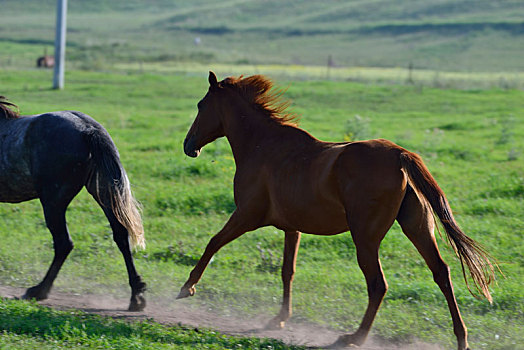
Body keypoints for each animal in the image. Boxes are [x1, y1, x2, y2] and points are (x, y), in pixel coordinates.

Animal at [1, 96, 147, 312]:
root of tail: (88, 129)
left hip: (53, 202)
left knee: (64, 243)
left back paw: (38, 291)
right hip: (103, 192)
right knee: (120, 234)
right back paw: (136, 296)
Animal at [179, 72, 496, 348]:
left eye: (200, 105)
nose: (188, 145)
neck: (263, 146)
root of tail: (399, 154)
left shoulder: (247, 215)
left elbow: (213, 242)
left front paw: (187, 287)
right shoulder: (292, 227)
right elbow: (287, 270)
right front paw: (279, 319)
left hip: (365, 237)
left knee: (378, 284)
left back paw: (355, 337)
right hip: (416, 227)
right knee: (441, 272)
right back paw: (461, 338)